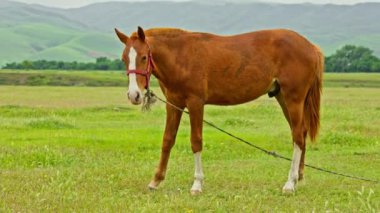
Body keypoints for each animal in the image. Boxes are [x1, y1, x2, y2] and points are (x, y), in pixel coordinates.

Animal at [114, 26, 322, 195]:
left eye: (143, 57)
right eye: (124, 59)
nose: (134, 95)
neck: (181, 56)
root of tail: (311, 47)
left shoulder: (195, 103)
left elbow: (196, 141)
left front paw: (197, 184)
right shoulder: (173, 104)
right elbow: (167, 140)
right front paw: (155, 181)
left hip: (293, 99)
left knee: (297, 136)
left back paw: (290, 183)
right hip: (282, 98)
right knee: (300, 133)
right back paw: (299, 177)